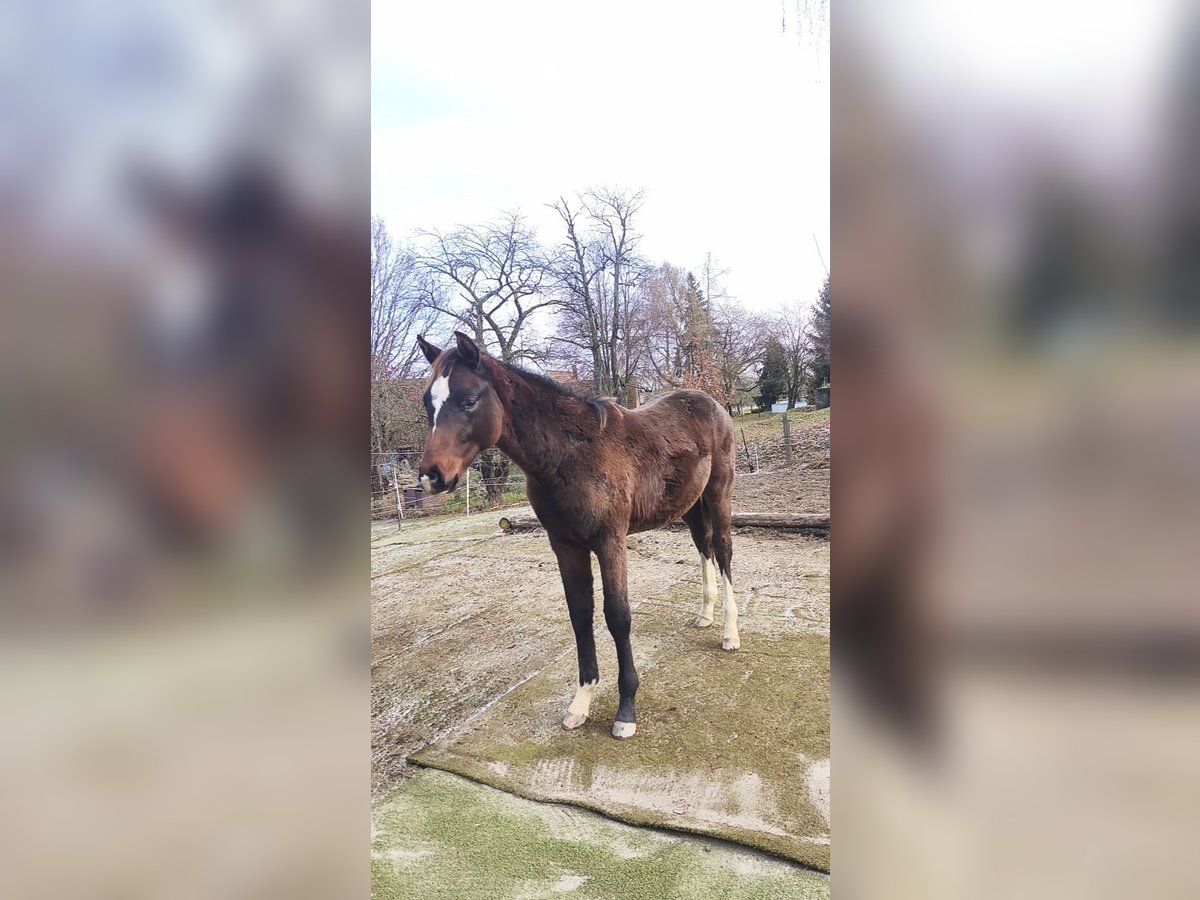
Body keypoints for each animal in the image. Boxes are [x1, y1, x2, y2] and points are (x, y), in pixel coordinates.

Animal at [415, 331, 739, 739]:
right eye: (428, 403)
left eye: (469, 400)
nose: (431, 476)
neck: (570, 457)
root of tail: (712, 403)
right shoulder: (565, 546)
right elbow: (580, 616)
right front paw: (580, 703)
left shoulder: (610, 541)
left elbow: (617, 616)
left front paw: (625, 711)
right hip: (691, 506)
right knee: (704, 548)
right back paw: (705, 615)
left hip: (718, 494)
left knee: (723, 550)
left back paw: (730, 634)